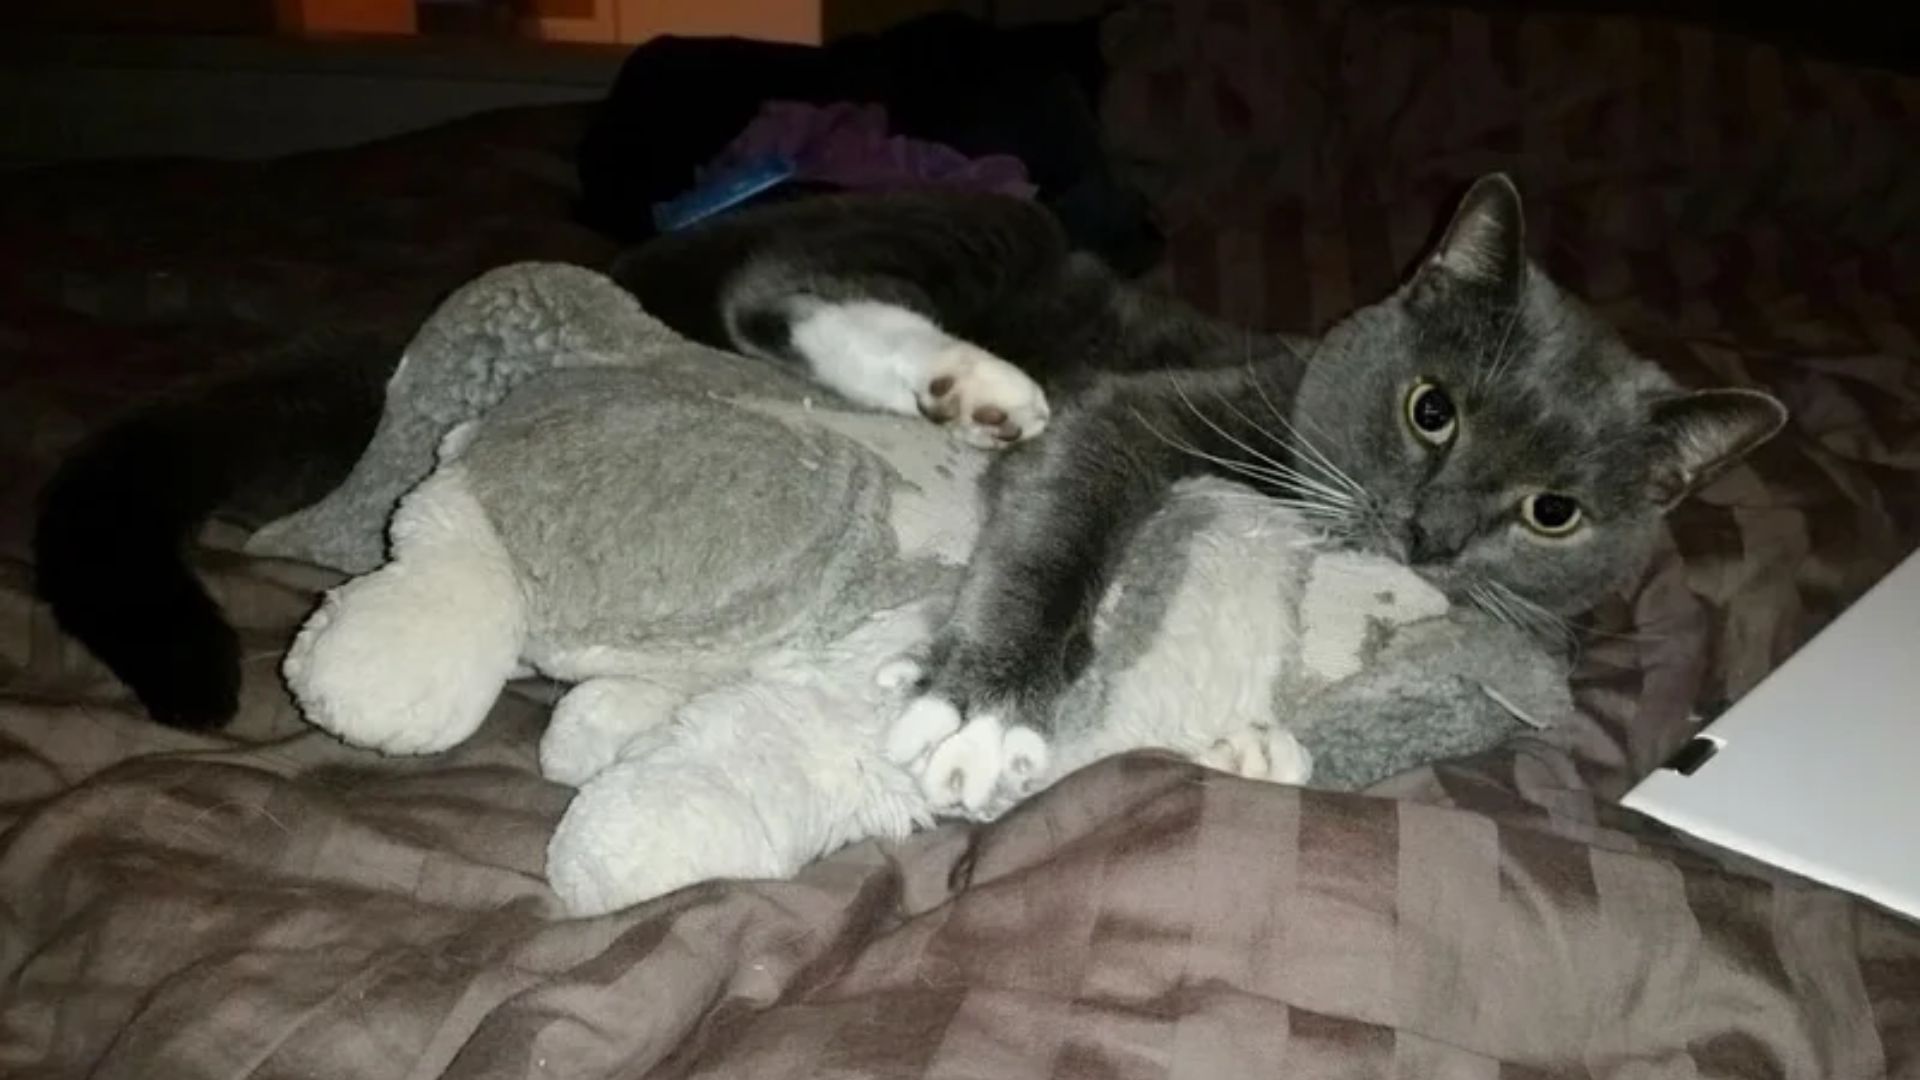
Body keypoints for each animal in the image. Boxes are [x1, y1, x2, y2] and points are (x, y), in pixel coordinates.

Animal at [610, 174, 1781, 807]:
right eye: (1432, 410)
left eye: (1555, 513)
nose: (1431, 538)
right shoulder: (1157, 406)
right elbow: (1067, 511)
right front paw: (981, 712)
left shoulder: (1530, 649)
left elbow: (1472, 711)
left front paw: (1259, 749)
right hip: (992, 228)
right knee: (770, 291)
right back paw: (977, 383)